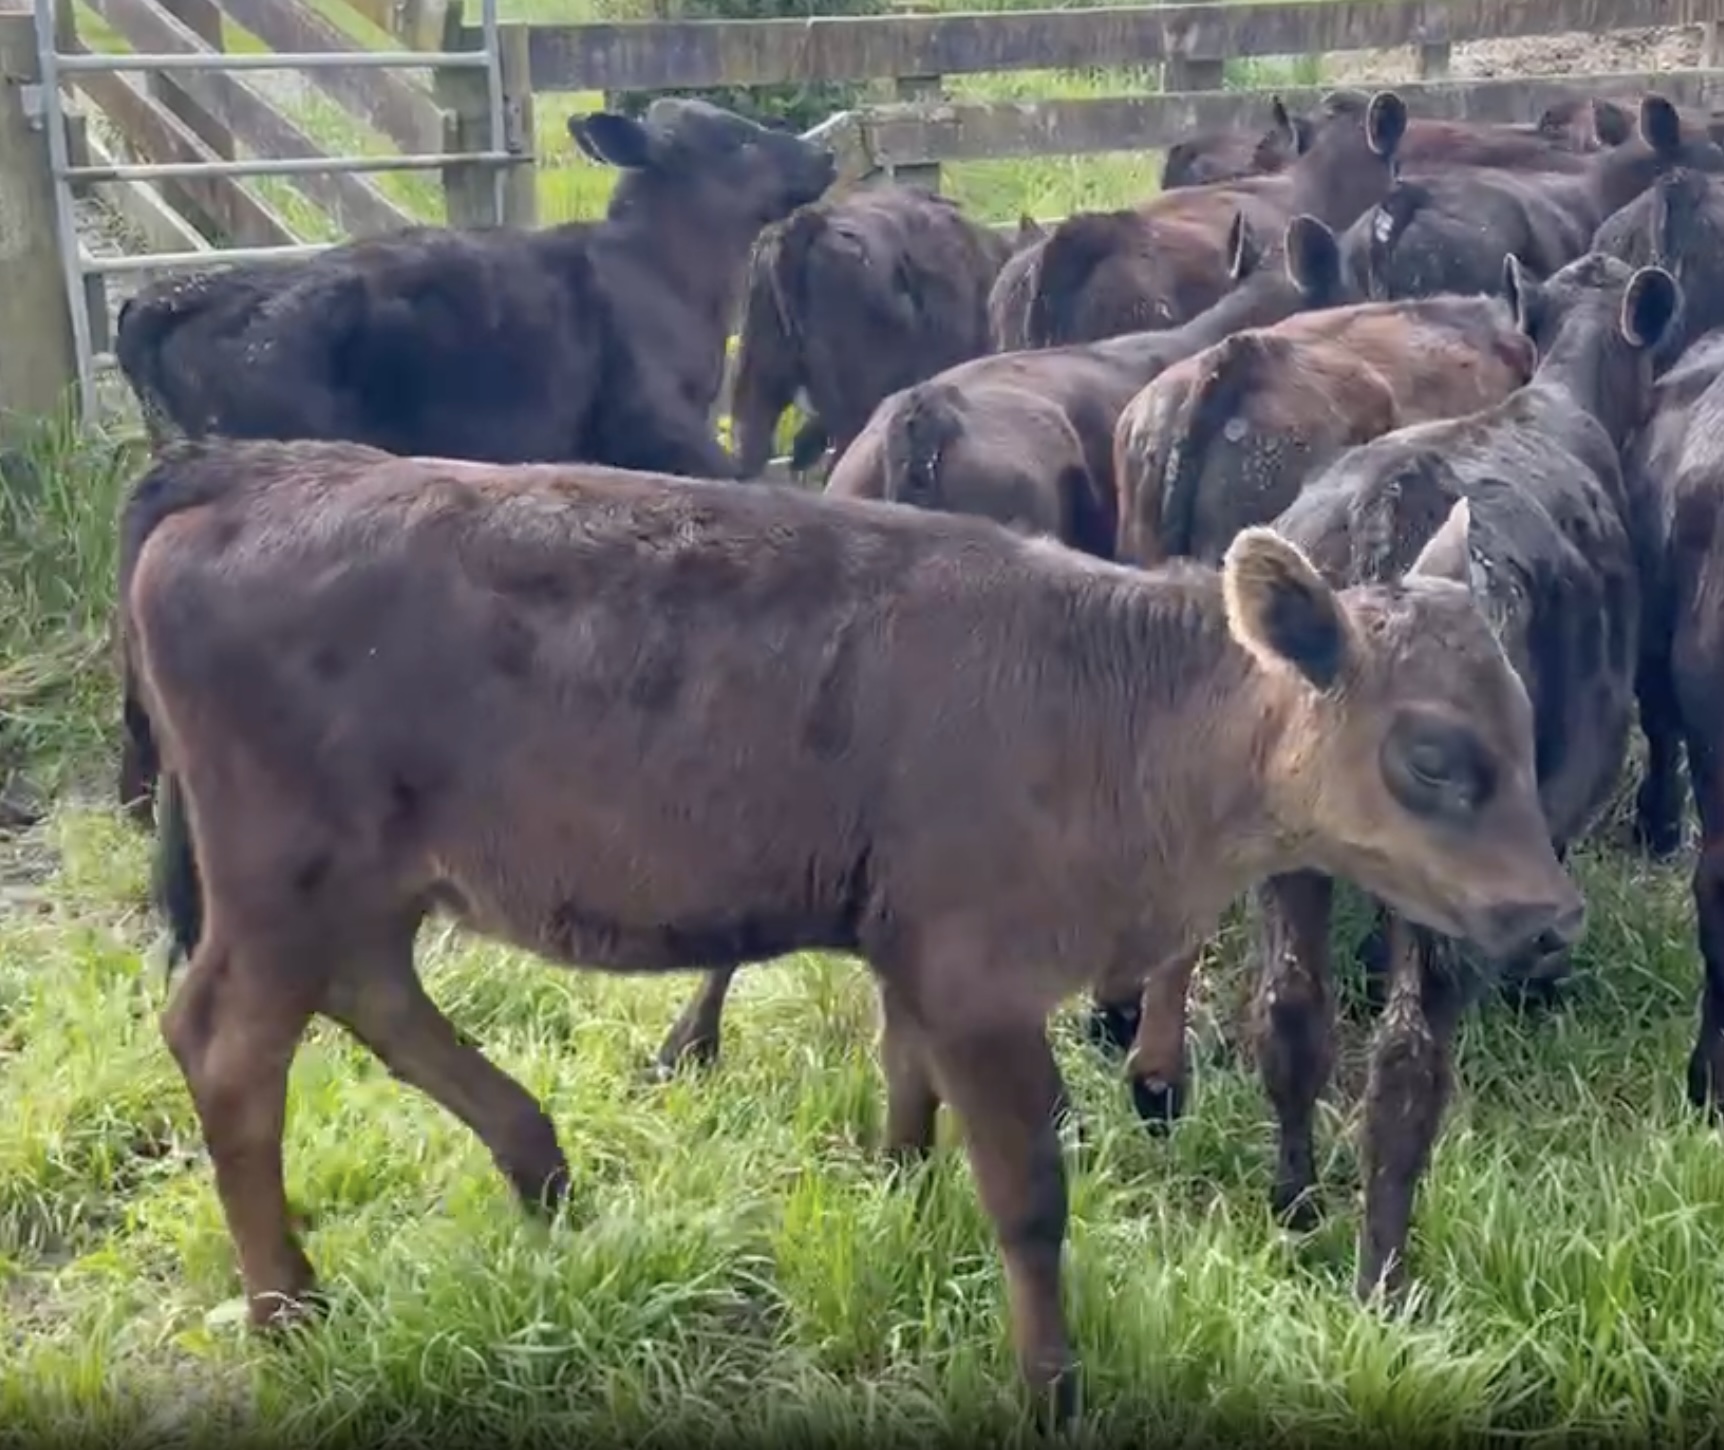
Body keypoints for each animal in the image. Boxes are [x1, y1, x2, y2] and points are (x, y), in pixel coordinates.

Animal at [120, 433, 1580, 1425]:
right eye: (1434, 754)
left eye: (1522, 722)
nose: (1547, 916)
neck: (1103, 702)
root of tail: (250, 473)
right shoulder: (980, 974)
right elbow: (1028, 1194)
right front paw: (1049, 1386)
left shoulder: (911, 948)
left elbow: (903, 1083)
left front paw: (898, 1197)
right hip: (283, 875)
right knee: (229, 1043)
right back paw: (290, 1303)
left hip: (361, 883)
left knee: (373, 997)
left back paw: (540, 1169)